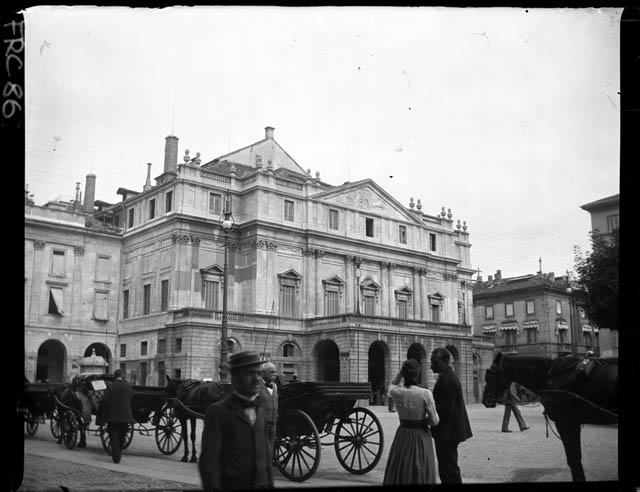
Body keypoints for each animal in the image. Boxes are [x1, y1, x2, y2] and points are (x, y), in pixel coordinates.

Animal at [482, 352, 616, 482]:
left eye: (489, 375)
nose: (485, 400)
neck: (549, 374)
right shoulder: (572, 422)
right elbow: (575, 458)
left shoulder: (565, 421)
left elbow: (574, 459)